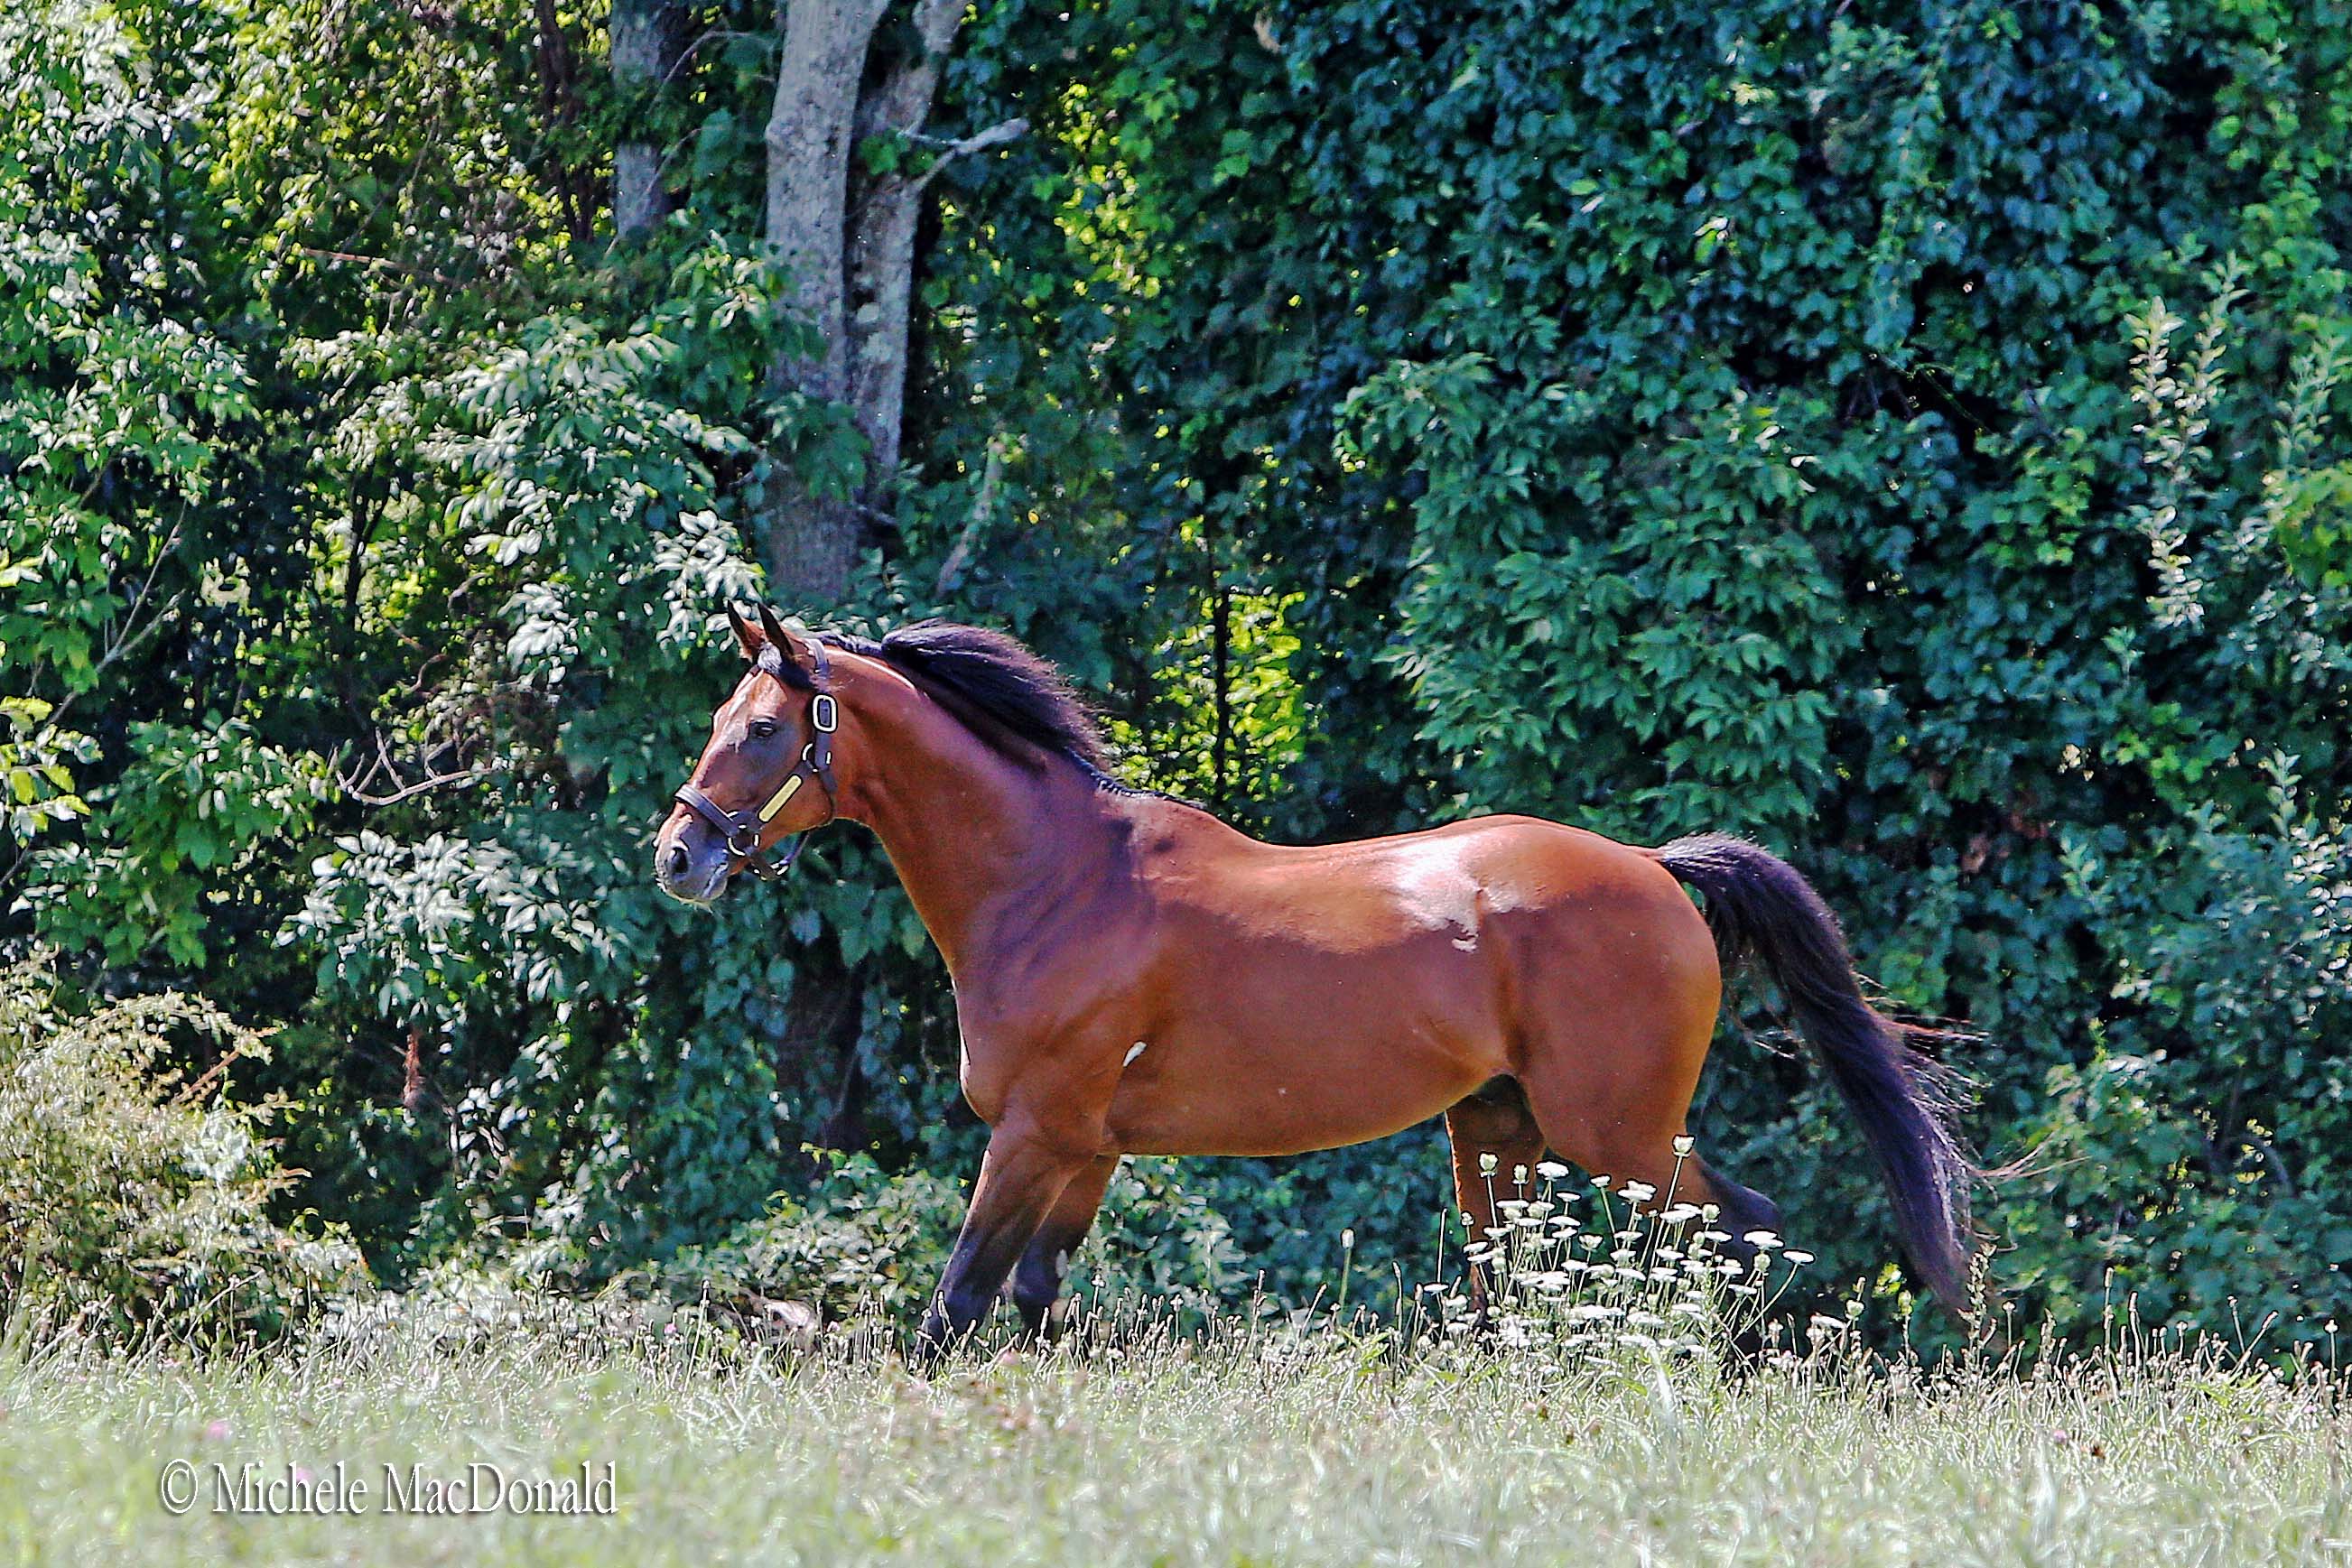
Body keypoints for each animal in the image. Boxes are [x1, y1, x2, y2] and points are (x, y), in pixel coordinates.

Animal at [654, 606, 1975, 1354]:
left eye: (764, 730)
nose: (680, 854)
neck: (1057, 882)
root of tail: (1656, 869)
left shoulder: (1031, 1133)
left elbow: (955, 1303)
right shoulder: (1086, 1148)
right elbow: (1033, 1299)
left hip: (1620, 1134)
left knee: (1737, 1227)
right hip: (1494, 1131)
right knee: (1508, 1283)